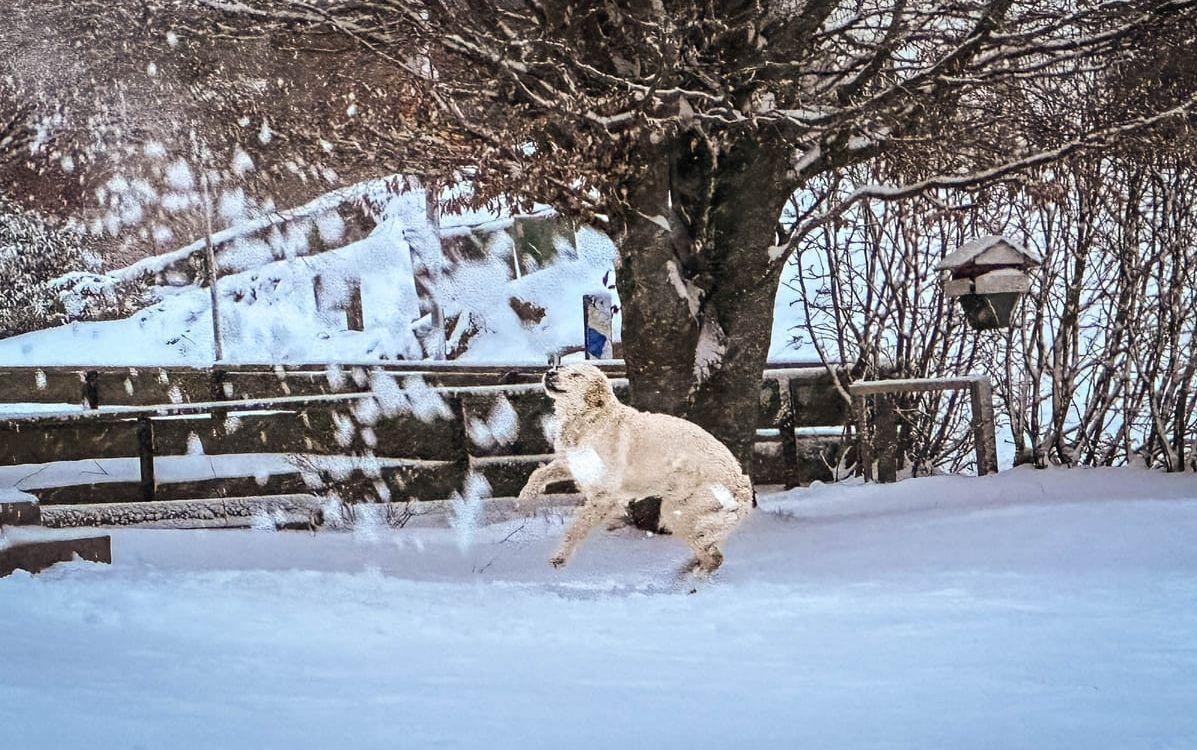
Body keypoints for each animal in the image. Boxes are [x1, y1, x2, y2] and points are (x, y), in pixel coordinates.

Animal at [519, 363, 751, 574]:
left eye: (576, 375)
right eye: (561, 367)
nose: (550, 373)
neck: (589, 420)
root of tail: (742, 484)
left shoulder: (604, 496)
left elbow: (575, 530)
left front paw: (560, 558)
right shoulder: (572, 464)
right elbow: (538, 474)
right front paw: (525, 497)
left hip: (677, 512)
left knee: (714, 558)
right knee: (710, 553)